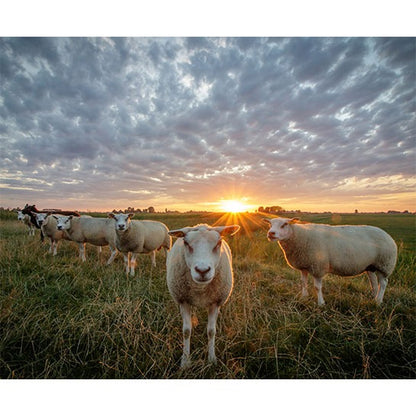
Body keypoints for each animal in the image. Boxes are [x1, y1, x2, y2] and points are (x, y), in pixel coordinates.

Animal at [167, 223, 240, 368]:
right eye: (186, 243)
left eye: (219, 243)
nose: (202, 270)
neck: (200, 288)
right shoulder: (183, 300)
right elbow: (186, 331)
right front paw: (185, 361)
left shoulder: (215, 302)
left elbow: (211, 331)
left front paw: (212, 359)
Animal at [264, 218, 398, 306]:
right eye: (270, 224)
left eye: (285, 224)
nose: (271, 233)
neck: (299, 236)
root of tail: (389, 236)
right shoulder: (304, 265)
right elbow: (303, 282)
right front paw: (304, 297)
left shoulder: (318, 267)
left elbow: (317, 287)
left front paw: (321, 303)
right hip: (371, 266)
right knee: (374, 282)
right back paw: (373, 297)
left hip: (384, 264)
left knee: (383, 283)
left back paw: (378, 301)